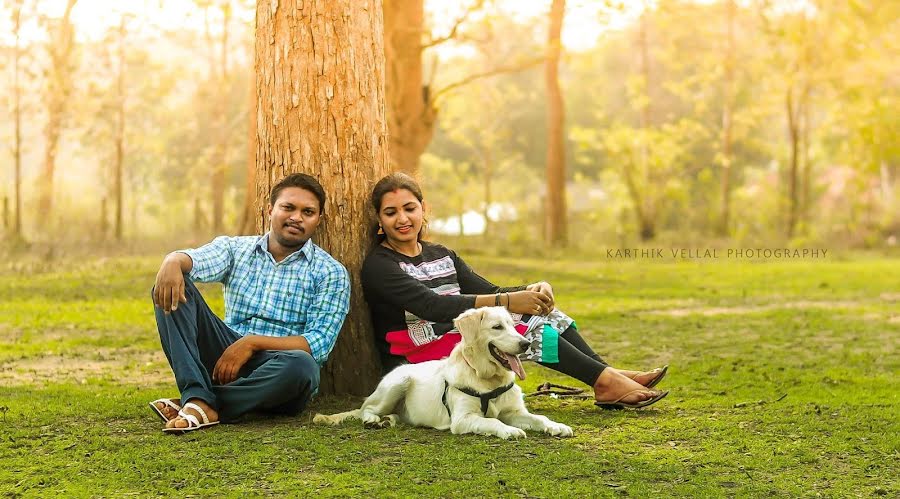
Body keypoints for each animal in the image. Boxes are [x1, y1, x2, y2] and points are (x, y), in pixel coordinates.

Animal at [312, 306, 572, 440]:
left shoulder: (515, 411)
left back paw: (389, 420)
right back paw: (374, 420)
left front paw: (556, 426)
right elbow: (493, 422)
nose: (525, 344)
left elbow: (539, 418)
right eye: (497, 327)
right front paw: (509, 430)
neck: (487, 378)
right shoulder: (463, 419)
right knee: (366, 409)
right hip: (397, 383)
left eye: (511, 325)